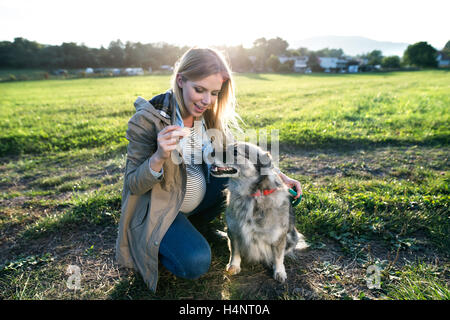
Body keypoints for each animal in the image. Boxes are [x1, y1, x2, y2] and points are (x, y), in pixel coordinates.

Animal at [209, 141, 304, 282]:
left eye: (235, 152)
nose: (210, 152)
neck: (250, 196)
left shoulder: (278, 236)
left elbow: (278, 256)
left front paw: (279, 271)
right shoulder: (234, 231)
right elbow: (234, 251)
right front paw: (233, 266)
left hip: (293, 236)